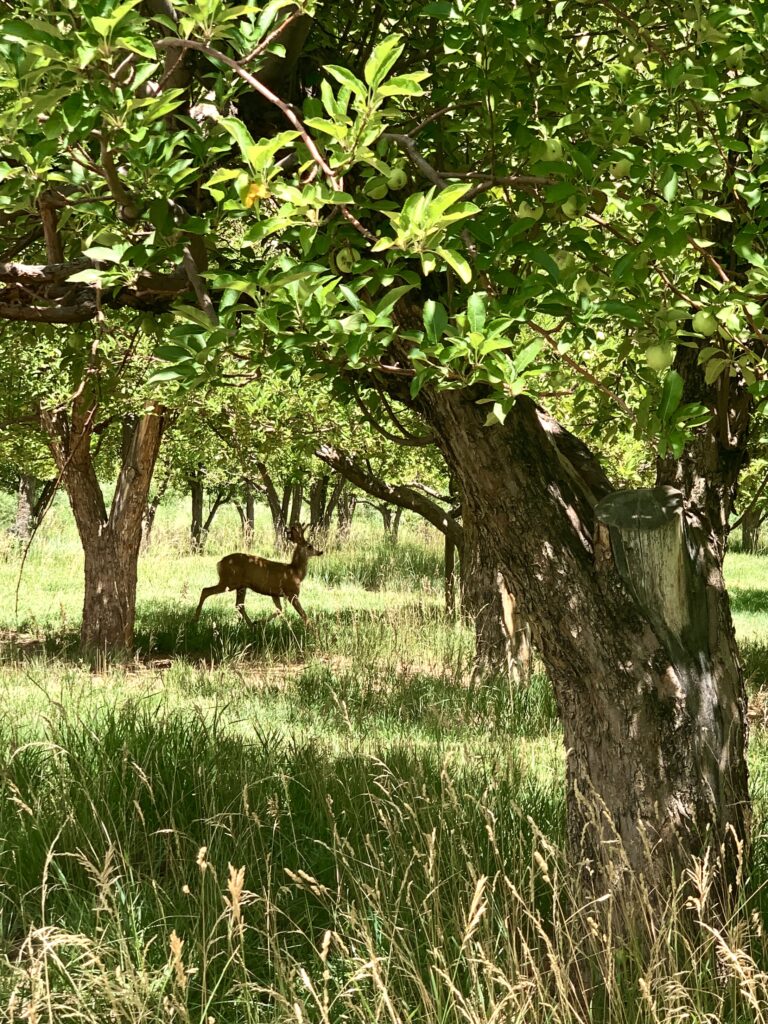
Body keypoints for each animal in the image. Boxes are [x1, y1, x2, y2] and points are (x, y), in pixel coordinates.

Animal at [195, 528, 325, 622]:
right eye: (309, 546)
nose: (320, 551)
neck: (295, 572)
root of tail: (219, 563)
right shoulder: (291, 592)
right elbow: (303, 614)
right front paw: (311, 630)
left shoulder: (275, 593)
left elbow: (279, 610)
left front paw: (260, 622)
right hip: (229, 581)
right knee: (205, 590)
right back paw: (195, 619)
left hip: (240, 586)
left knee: (239, 605)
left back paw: (251, 625)